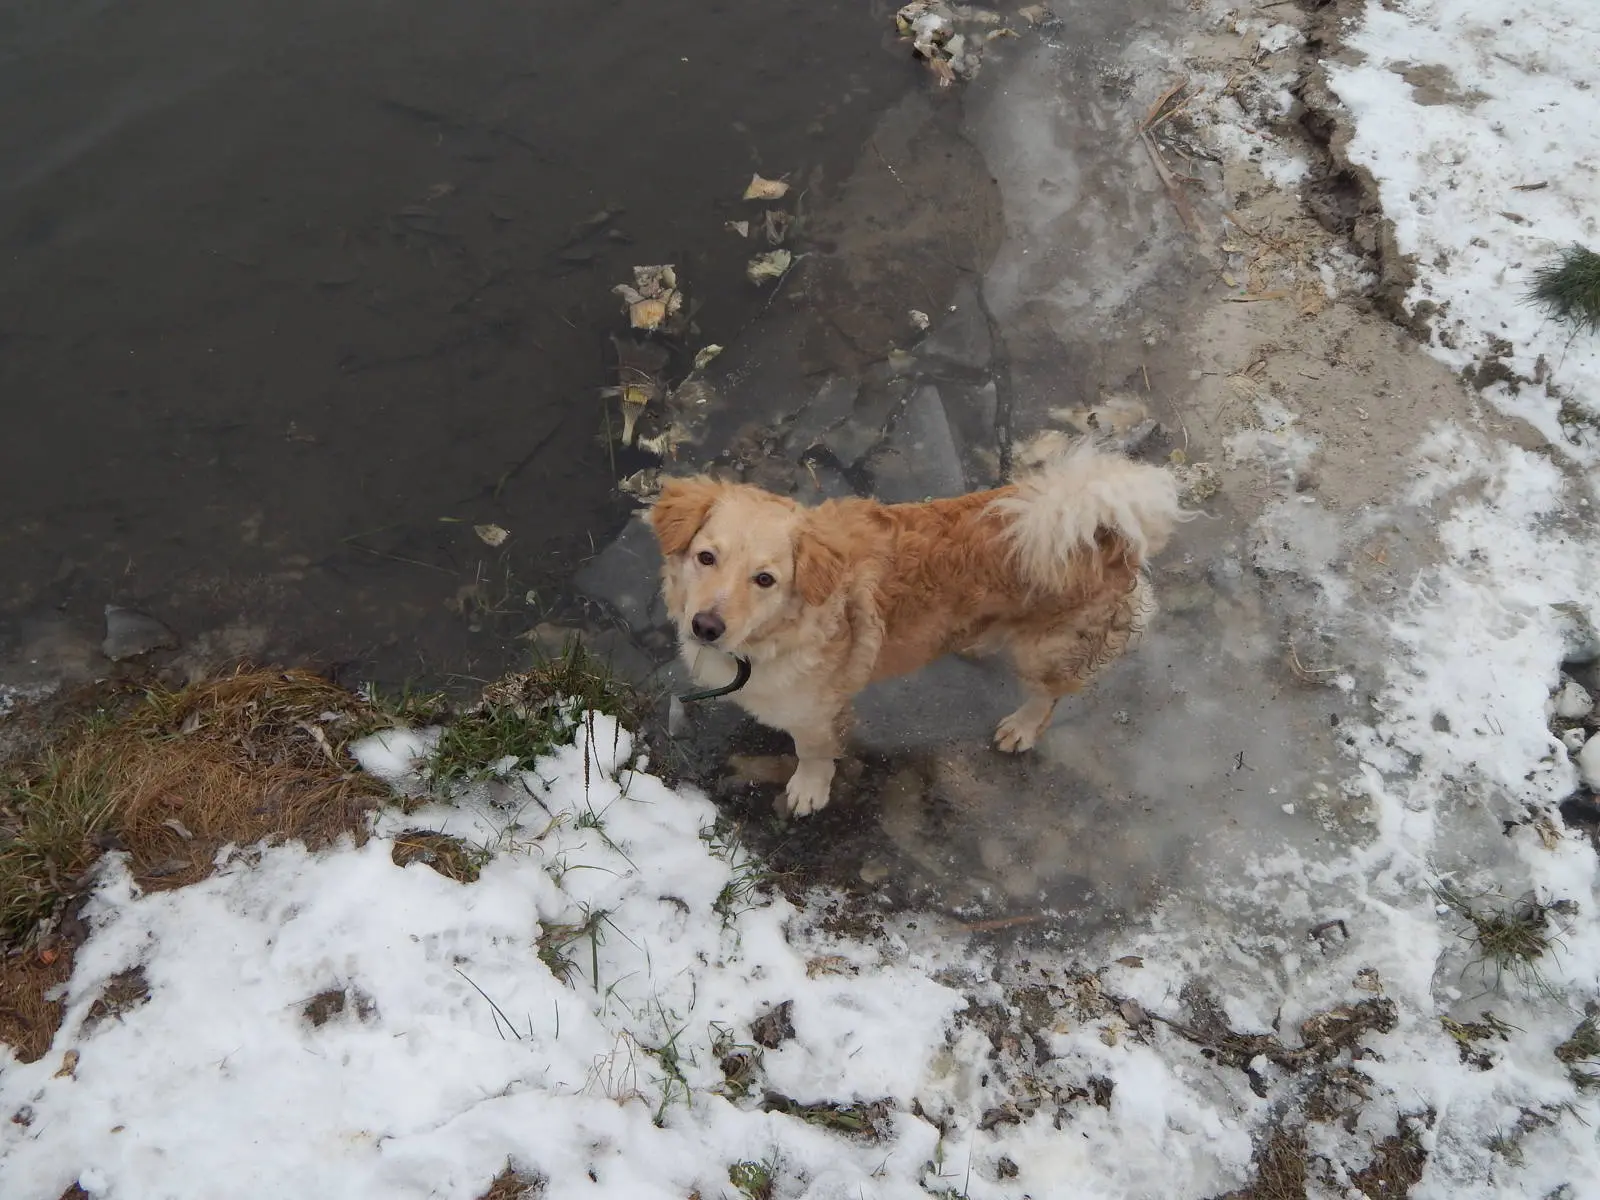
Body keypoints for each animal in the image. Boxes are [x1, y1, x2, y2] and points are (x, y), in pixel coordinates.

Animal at [648, 434, 1188, 817]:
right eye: (706, 557)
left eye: (765, 579)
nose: (706, 626)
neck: (780, 631)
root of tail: (1104, 533)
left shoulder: (819, 712)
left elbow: (813, 752)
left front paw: (808, 789)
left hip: (1046, 650)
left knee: (1049, 695)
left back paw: (1021, 727)